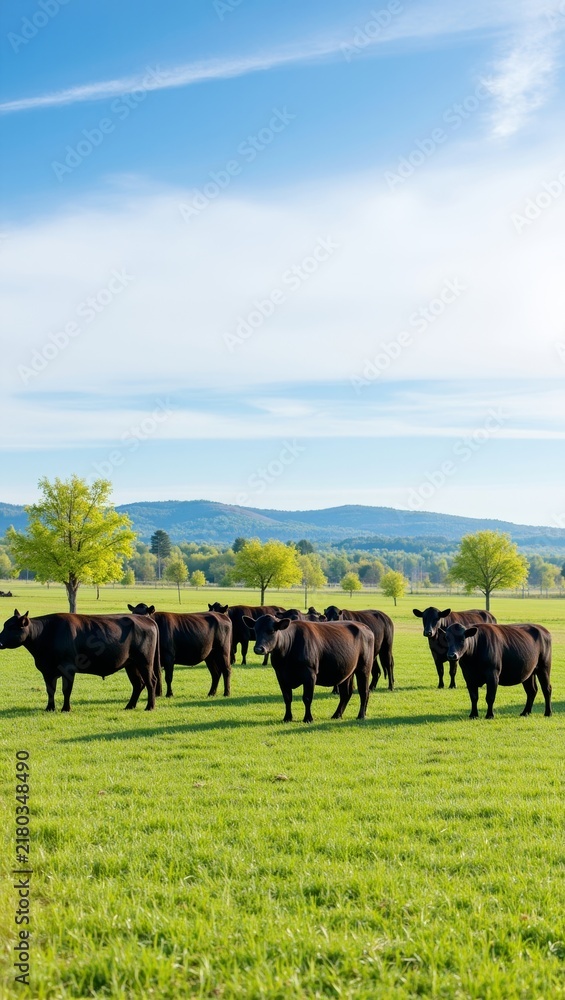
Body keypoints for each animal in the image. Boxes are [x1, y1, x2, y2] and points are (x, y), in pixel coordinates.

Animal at [0, 609, 160, 711]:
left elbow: (66, 689)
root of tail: (146, 619)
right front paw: (49, 708)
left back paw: (149, 707)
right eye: (5, 625)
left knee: (151, 681)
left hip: (145, 662)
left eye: (12, 627)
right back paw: (129, 706)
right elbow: (50, 690)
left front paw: (66, 708)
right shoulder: (47, 671)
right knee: (138, 684)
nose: (0, 642)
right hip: (131, 664)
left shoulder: (68, 667)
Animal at [244, 614, 374, 723]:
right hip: (346, 672)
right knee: (346, 693)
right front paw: (287, 717)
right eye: (255, 630)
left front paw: (308, 718)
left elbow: (307, 698)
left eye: (271, 631)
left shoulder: (310, 674)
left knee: (364, 692)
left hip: (364, 669)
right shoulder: (280, 675)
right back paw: (336, 715)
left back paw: (361, 715)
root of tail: (365, 627)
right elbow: (287, 697)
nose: (259, 649)